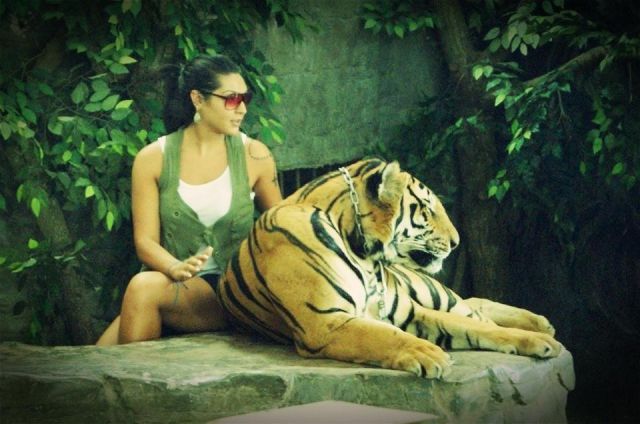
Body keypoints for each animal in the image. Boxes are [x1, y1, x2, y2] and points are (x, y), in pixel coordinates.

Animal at [218, 158, 562, 378]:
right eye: (427, 209)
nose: (456, 242)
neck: (364, 255)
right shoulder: (326, 323)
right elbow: (382, 336)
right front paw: (427, 353)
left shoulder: (409, 310)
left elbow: (477, 328)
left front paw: (539, 342)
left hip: (428, 290)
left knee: (473, 307)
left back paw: (541, 324)